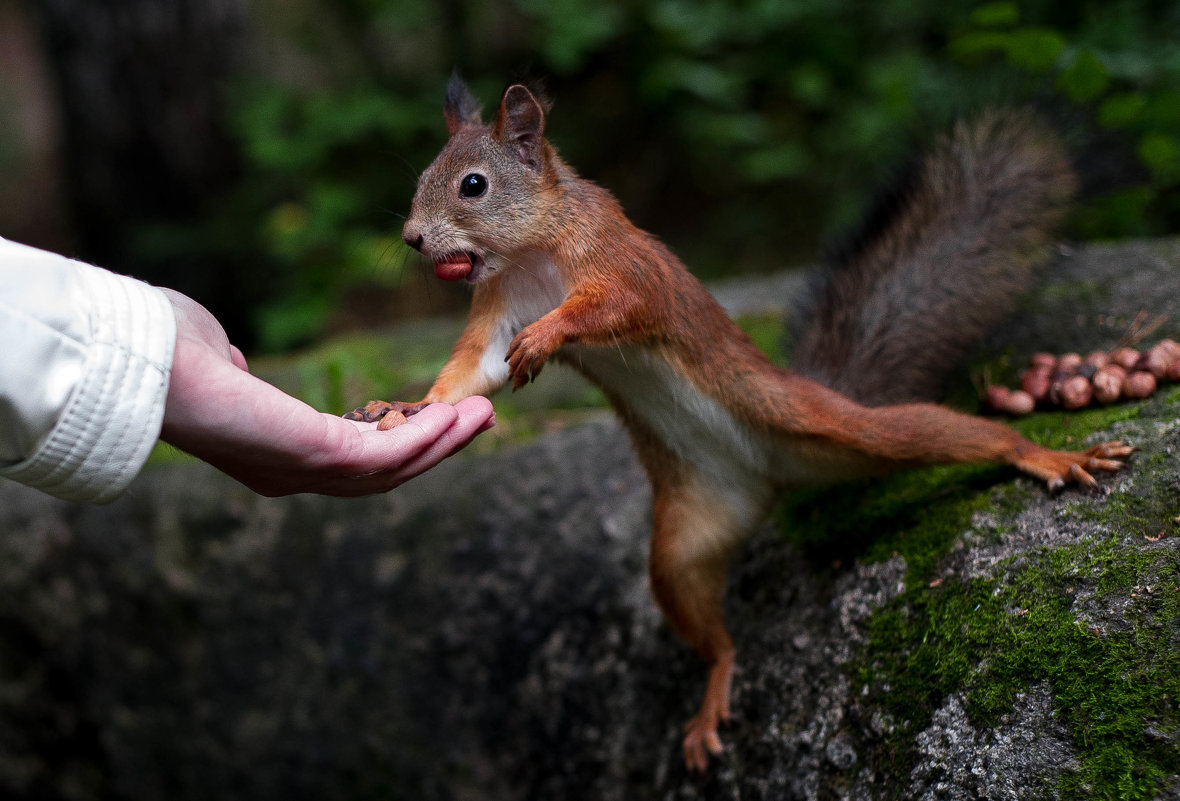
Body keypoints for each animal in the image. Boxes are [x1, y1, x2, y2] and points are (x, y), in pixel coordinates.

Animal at [349, 76, 1132, 769]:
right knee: (718, 635)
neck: (532, 252)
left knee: (951, 435)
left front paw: (548, 336)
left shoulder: (621, 264)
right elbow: (470, 373)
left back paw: (1045, 456)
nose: (412, 239)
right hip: (682, 543)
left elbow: (611, 308)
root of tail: (773, 475)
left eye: (472, 185)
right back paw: (714, 691)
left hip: (845, 427)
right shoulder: (498, 306)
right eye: (426, 174)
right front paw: (409, 408)